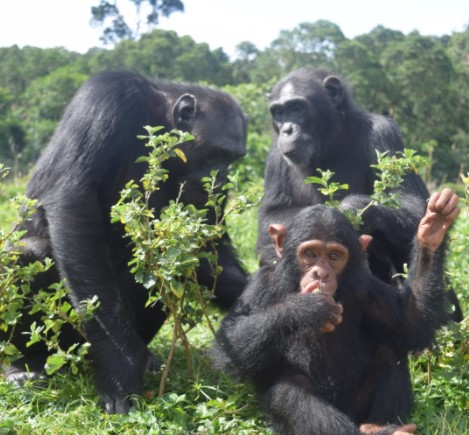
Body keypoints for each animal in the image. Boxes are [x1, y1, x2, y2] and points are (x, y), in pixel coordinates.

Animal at [2, 70, 249, 414]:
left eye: (234, 159)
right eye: (217, 153)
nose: (223, 176)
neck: (160, 117)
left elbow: (207, 247)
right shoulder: (109, 97)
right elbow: (74, 200)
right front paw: (119, 365)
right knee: (26, 255)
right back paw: (26, 366)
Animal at [213, 189, 460, 434]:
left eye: (334, 256)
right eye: (310, 254)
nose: (321, 273)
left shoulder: (367, 287)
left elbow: (409, 325)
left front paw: (432, 230)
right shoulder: (260, 285)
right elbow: (228, 347)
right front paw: (308, 308)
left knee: (389, 352)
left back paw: (381, 426)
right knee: (291, 386)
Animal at [258, 67, 462, 320]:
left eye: (297, 107)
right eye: (279, 112)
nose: (287, 129)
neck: (331, 140)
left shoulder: (384, 133)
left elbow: (413, 204)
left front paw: (350, 210)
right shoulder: (275, 154)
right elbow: (271, 215)